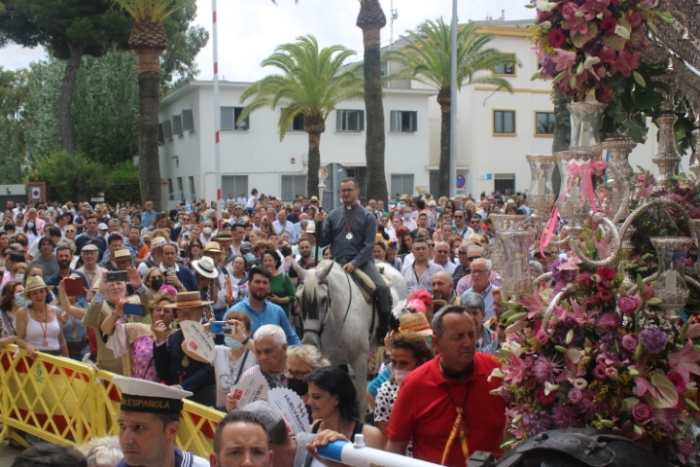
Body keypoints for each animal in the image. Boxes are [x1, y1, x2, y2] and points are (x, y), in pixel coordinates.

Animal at [292, 260, 408, 416]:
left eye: (324, 300)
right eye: (298, 298)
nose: (309, 342)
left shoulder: (359, 360)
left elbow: (360, 401)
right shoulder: (333, 361)